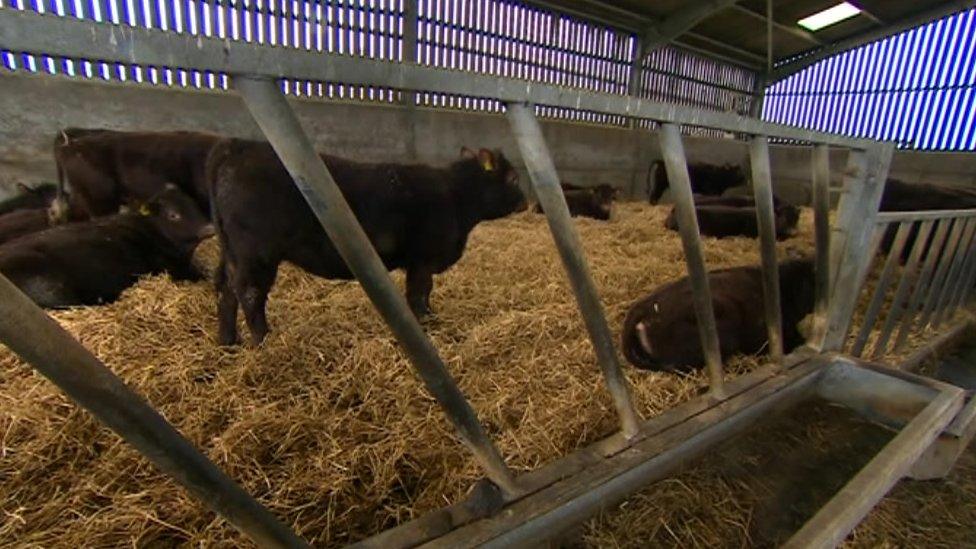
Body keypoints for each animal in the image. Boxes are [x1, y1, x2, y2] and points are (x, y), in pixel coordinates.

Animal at [207, 139, 528, 344]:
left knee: (225, 289)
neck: (455, 197)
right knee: (249, 293)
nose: (527, 202)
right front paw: (428, 323)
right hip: (256, 252)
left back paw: (228, 342)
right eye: (513, 178)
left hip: (232, 250)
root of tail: (236, 149)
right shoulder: (422, 260)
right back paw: (264, 342)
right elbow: (420, 294)